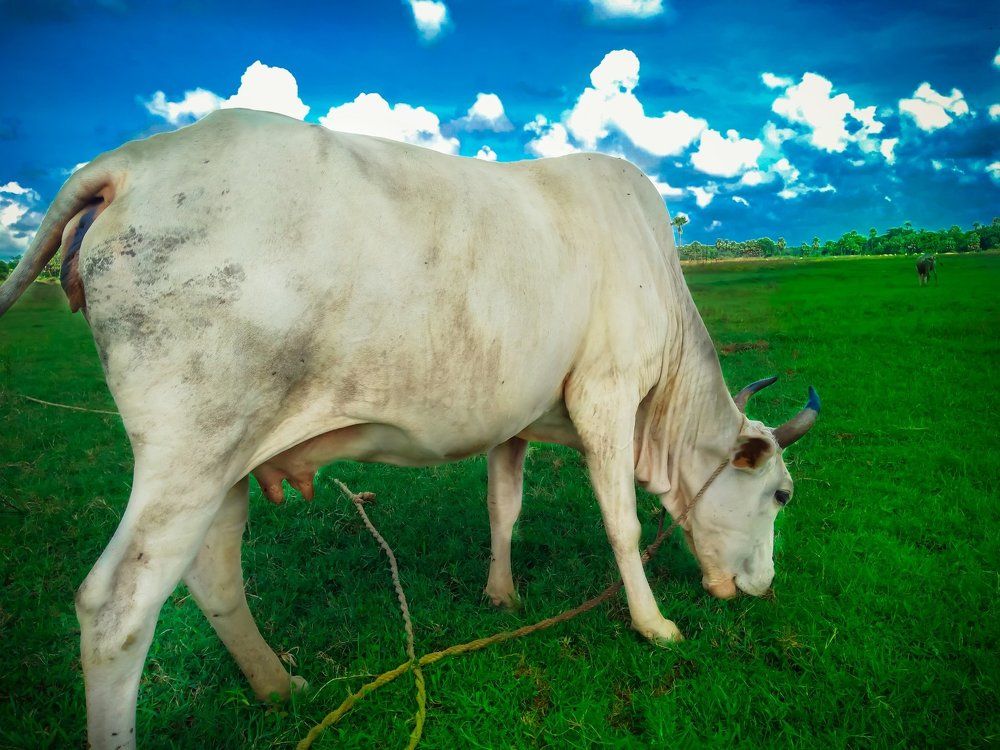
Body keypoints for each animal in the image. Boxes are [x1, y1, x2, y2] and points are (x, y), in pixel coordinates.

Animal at [0, 109, 819, 749]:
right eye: (780, 495)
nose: (764, 586)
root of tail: (130, 160)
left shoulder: (514, 417)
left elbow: (503, 506)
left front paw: (501, 596)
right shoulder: (606, 395)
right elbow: (621, 522)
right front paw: (654, 625)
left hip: (225, 458)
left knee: (213, 571)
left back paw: (278, 685)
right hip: (190, 446)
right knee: (115, 610)